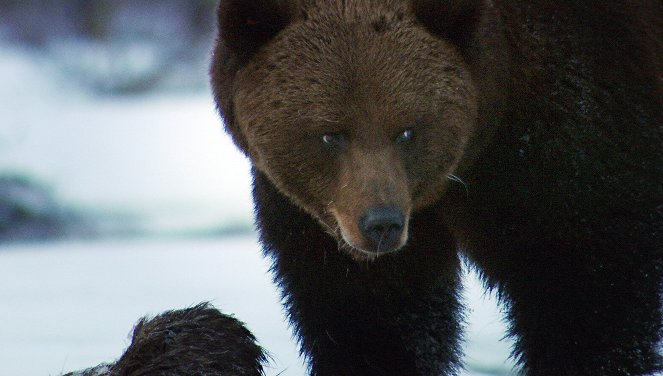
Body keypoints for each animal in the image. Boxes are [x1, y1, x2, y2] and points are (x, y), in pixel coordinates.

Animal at [211, 1, 663, 374]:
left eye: (407, 130)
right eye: (330, 134)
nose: (382, 224)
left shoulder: (567, 131)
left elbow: (586, 285)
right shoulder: (322, 221)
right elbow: (374, 317)